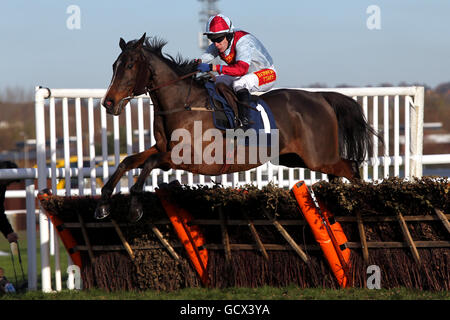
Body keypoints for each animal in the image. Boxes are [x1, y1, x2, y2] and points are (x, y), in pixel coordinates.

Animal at [94, 33, 380, 221]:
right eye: (114, 65)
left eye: (130, 65)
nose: (109, 103)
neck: (182, 104)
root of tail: (321, 97)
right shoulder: (162, 148)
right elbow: (128, 161)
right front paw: (104, 202)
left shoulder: (192, 158)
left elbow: (149, 165)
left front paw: (134, 205)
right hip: (296, 158)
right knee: (338, 174)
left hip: (318, 156)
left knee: (351, 168)